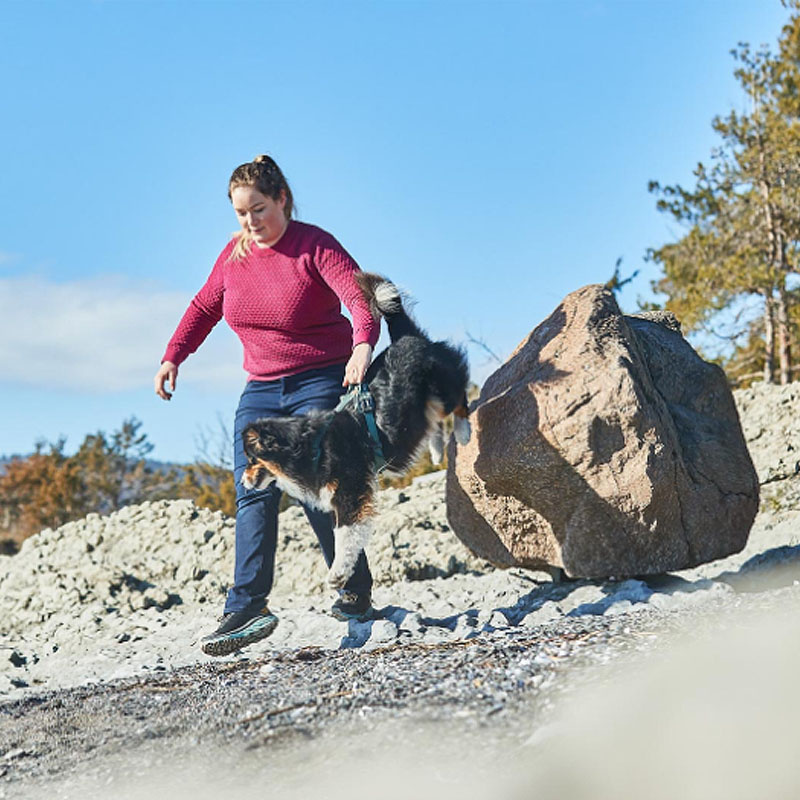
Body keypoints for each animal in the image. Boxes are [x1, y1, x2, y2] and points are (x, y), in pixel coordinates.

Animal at [241, 272, 472, 592]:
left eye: (251, 460)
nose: (242, 481)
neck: (310, 446)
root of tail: (406, 336)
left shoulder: (350, 490)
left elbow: (345, 535)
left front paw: (337, 574)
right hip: (420, 405)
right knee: (435, 421)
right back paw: (438, 450)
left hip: (439, 385)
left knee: (458, 396)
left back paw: (463, 432)